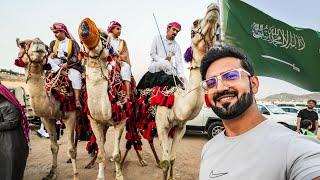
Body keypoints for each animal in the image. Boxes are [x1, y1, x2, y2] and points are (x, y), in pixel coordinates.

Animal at [15, 38, 79, 180]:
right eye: (22, 44)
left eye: (44, 46)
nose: (38, 42)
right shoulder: (47, 118)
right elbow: (54, 147)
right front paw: (52, 173)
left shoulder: (70, 116)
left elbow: (71, 150)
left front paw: (76, 175)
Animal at [152, 3, 220, 179]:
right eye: (195, 23)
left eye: (218, 27)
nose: (214, 7)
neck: (178, 104)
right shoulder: (161, 126)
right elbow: (166, 161)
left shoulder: (179, 128)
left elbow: (172, 158)